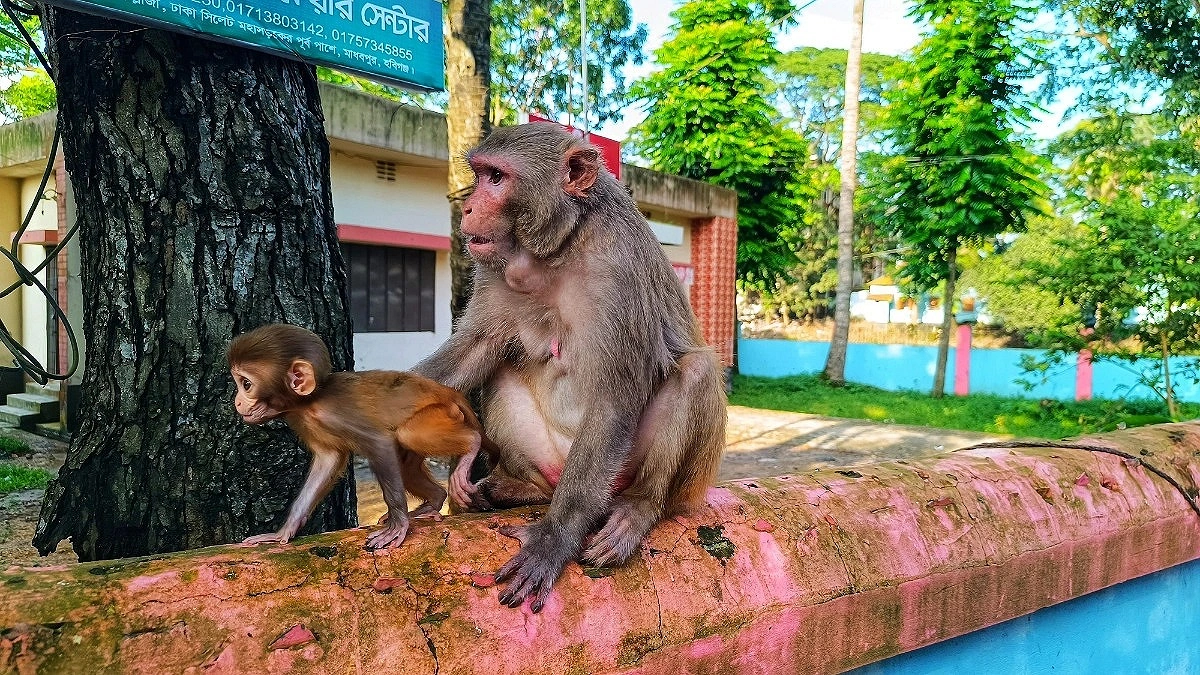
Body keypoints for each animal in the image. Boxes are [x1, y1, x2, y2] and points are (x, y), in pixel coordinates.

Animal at [228, 323, 492, 550]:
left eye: (246, 384)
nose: (237, 402)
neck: (311, 402)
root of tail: (447, 392)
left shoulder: (337, 415)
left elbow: (380, 443)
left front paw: (398, 525)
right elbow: (328, 461)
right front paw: (283, 532)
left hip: (439, 413)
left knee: (410, 434)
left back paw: (471, 444)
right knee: (406, 463)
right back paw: (430, 504)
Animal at [412, 123, 727, 612]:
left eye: (497, 179)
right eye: (479, 175)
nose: (467, 207)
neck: (559, 248)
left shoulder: (618, 269)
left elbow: (614, 403)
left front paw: (554, 538)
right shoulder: (494, 269)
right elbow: (475, 351)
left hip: (637, 478)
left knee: (695, 373)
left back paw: (640, 506)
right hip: (549, 459)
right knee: (501, 369)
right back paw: (518, 488)